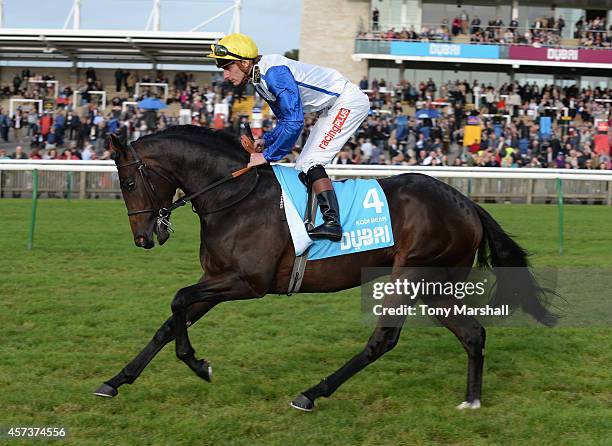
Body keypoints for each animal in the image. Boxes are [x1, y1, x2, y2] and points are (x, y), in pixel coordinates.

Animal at [94, 125, 556, 412]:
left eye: (128, 183)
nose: (144, 237)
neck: (234, 196)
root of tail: (467, 204)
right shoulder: (216, 279)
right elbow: (169, 322)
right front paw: (115, 381)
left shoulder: (246, 282)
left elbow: (177, 299)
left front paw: (198, 364)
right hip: (435, 285)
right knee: (473, 334)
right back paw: (471, 400)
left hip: (412, 276)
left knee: (383, 340)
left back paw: (312, 393)